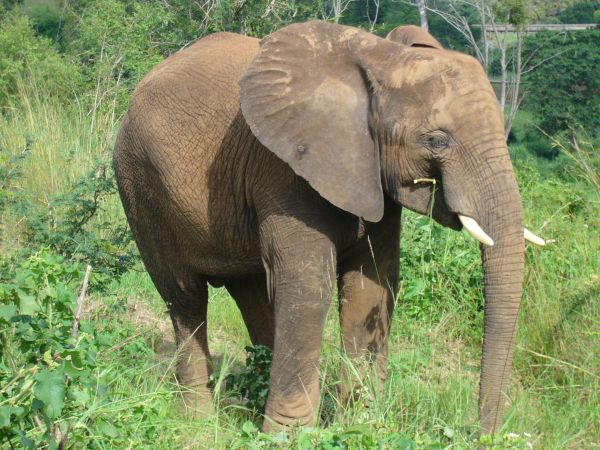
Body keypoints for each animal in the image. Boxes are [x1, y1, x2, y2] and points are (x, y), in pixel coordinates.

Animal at [113, 21, 544, 436]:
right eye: (437, 140)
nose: (482, 434)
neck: (381, 57)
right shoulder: (284, 167)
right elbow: (309, 285)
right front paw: (290, 438)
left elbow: (371, 283)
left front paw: (360, 424)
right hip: (139, 186)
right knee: (184, 297)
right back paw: (199, 422)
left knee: (251, 293)